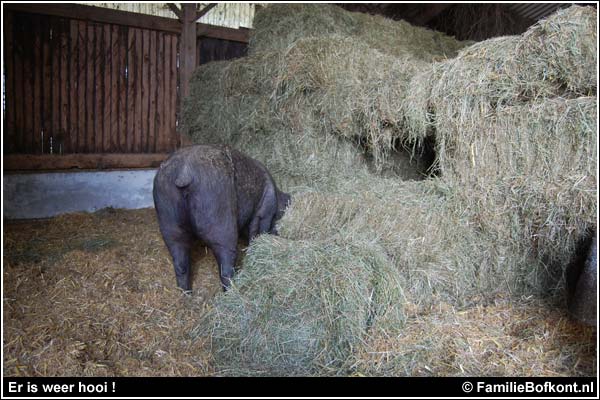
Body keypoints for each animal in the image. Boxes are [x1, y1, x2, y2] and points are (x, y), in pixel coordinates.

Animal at [151, 144, 290, 290]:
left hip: (168, 219)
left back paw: (185, 292)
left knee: (180, 262)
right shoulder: (265, 211)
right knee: (226, 262)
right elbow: (259, 229)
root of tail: (184, 172)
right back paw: (232, 290)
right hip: (219, 217)